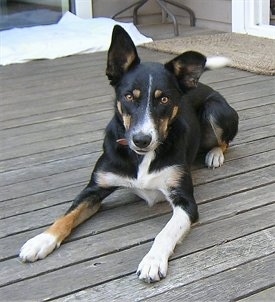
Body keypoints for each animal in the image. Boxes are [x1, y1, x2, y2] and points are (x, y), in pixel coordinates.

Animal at [19, 25, 239, 284]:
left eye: (164, 99)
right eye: (129, 96)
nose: (142, 139)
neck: (142, 157)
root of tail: (203, 86)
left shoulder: (185, 201)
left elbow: (165, 232)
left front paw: (153, 261)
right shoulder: (94, 189)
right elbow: (67, 215)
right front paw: (41, 240)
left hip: (215, 111)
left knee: (225, 141)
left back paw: (215, 154)